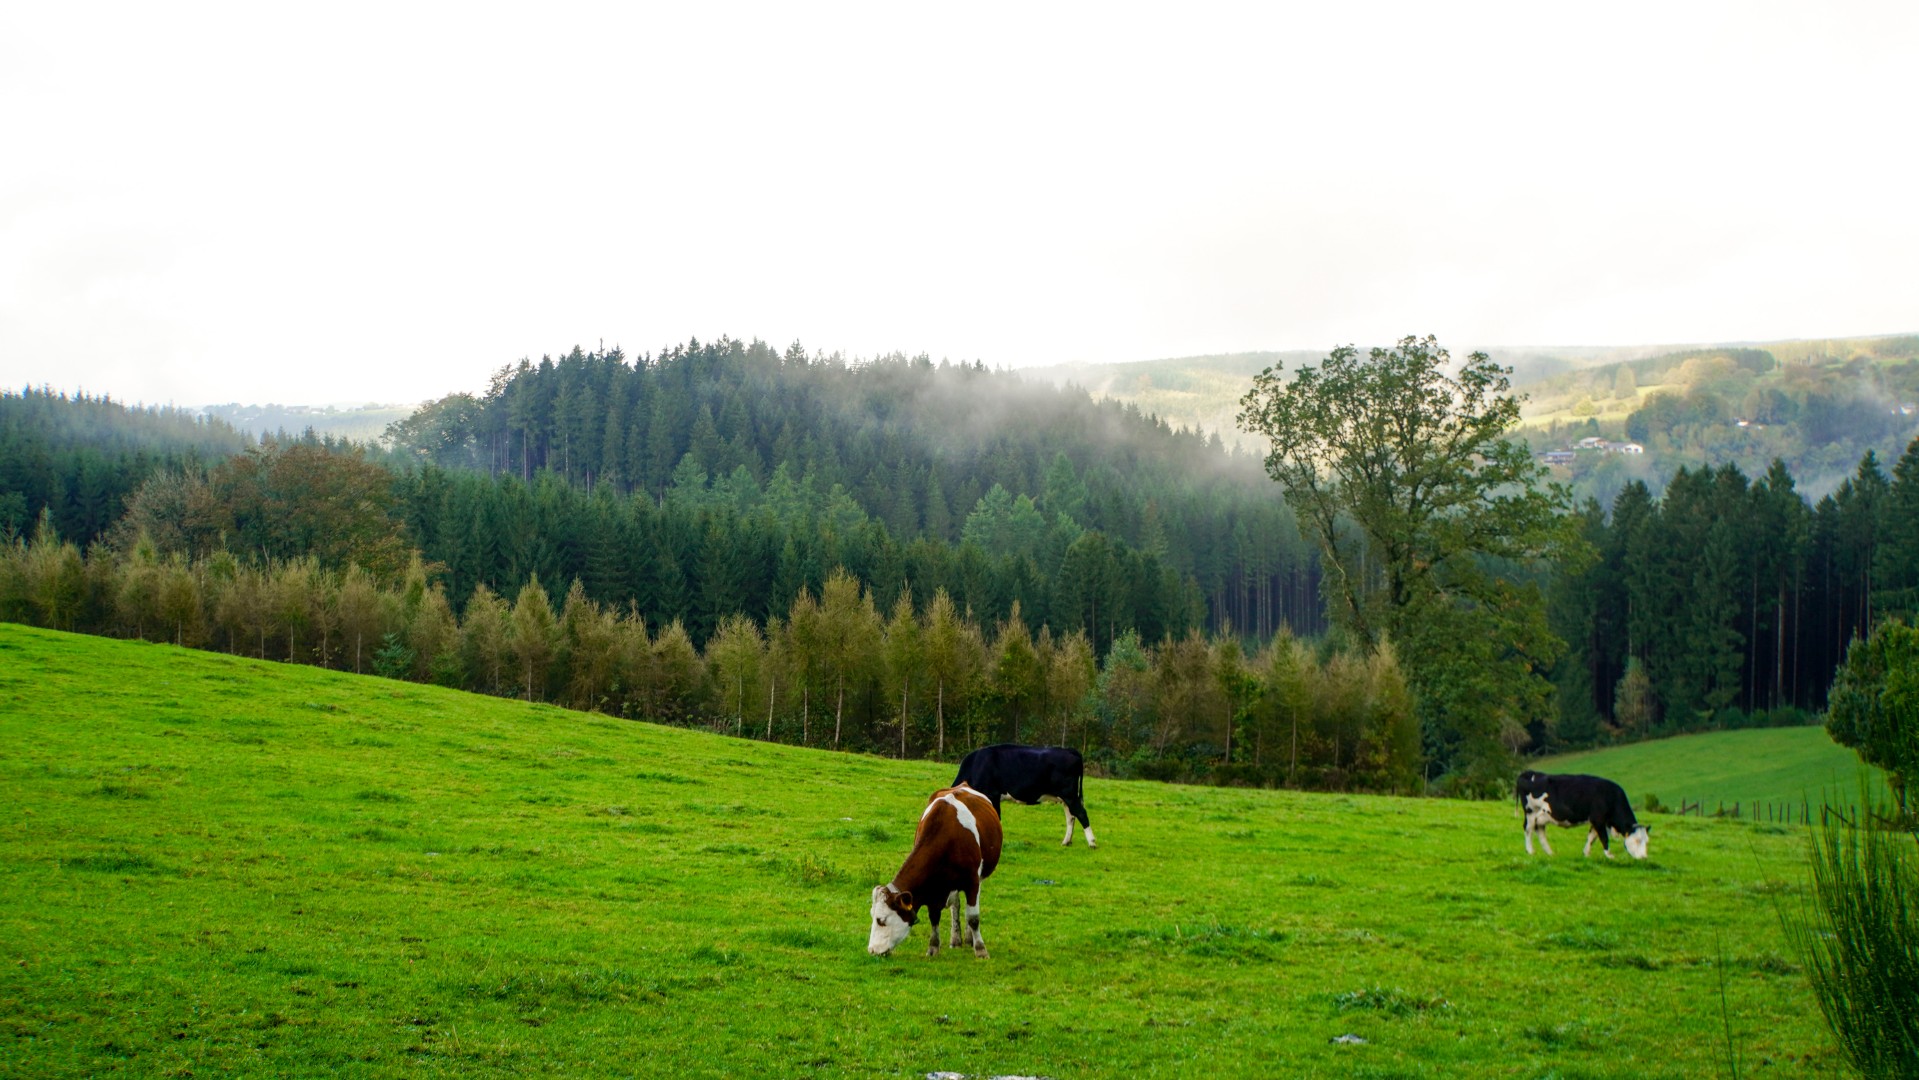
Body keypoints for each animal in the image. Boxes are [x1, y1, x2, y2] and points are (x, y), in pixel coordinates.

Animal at [867, 783, 1004, 958]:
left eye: (881, 920)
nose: (872, 950)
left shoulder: (972, 881)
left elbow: (973, 917)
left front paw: (980, 949)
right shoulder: (932, 886)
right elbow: (934, 917)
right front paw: (933, 947)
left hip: (979, 877)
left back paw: (969, 939)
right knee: (956, 906)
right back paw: (956, 939)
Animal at [953, 743, 1096, 848]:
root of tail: (1069, 750)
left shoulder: (992, 794)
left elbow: (996, 817)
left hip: (1069, 794)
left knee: (1081, 813)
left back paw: (1092, 843)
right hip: (1066, 797)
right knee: (1071, 817)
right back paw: (1066, 842)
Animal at [1516, 770, 1650, 859]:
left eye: (1646, 841)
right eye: (1637, 840)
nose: (1644, 857)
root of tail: (1530, 772)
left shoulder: (1597, 821)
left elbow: (1591, 837)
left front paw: (1586, 853)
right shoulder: (1598, 819)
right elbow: (1603, 838)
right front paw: (1609, 855)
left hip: (1542, 816)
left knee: (1540, 831)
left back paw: (1550, 852)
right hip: (1530, 811)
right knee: (1528, 829)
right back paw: (1530, 851)